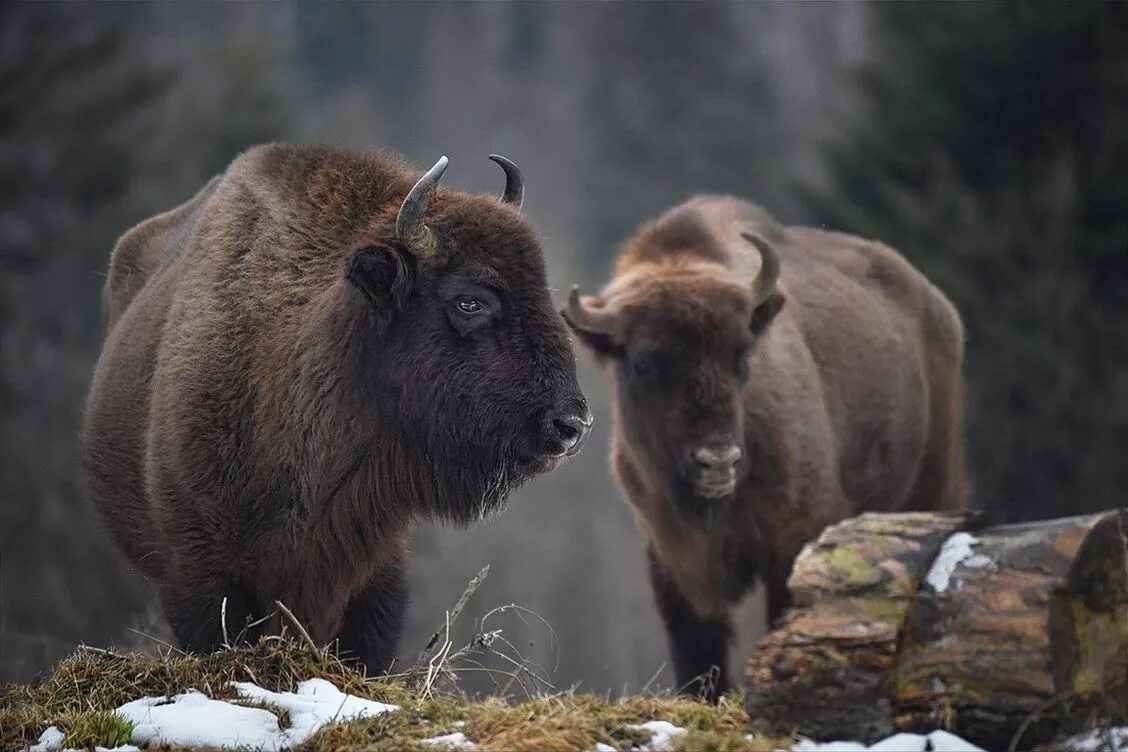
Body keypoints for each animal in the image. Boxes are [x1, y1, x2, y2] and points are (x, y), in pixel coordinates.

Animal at [568, 196, 965, 699]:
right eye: (643, 363)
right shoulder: (673, 558)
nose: (718, 461)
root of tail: (940, 309)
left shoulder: (792, 542)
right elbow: (697, 653)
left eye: (740, 353)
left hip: (935, 484)